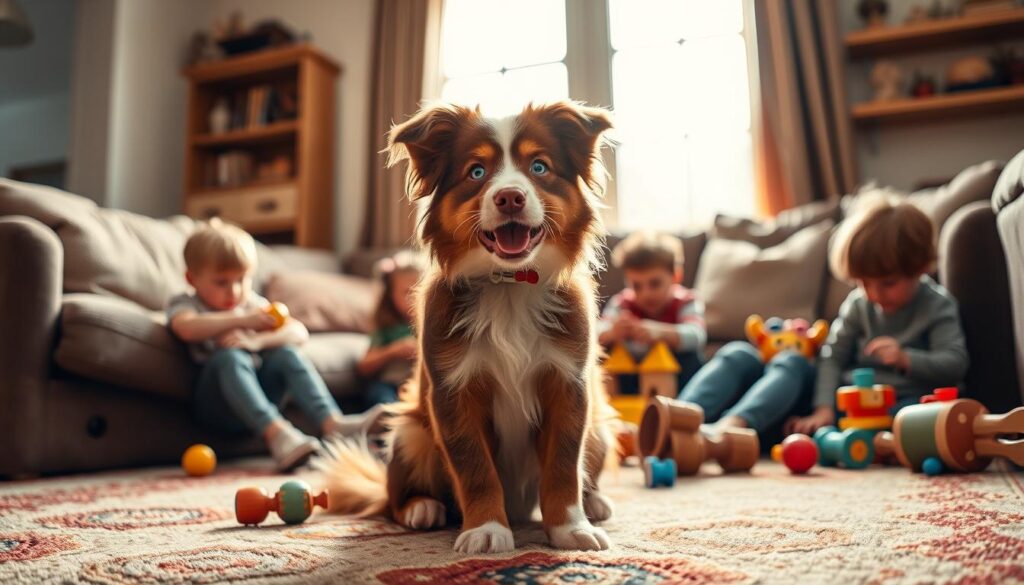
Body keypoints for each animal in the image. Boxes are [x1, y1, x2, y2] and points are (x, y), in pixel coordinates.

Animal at [319, 99, 614, 553]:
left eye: (540, 167)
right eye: (476, 172)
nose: (509, 197)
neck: (509, 284)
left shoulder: (569, 386)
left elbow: (564, 465)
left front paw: (570, 528)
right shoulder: (452, 393)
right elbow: (475, 469)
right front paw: (487, 529)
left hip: (600, 427)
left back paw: (595, 501)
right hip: (409, 431)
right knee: (392, 499)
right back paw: (422, 509)